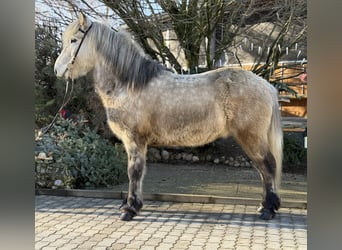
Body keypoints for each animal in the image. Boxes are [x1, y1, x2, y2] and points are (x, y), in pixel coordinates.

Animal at [54, 13, 284, 221]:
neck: (130, 85)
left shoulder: (135, 140)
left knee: (268, 166)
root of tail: (267, 86)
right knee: (263, 170)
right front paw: (131, 205)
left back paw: (268, 209)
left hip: (251, 137)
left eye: (73, 40)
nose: (57, 70)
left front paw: (130, 209)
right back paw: (263, 206)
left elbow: (134, 172)